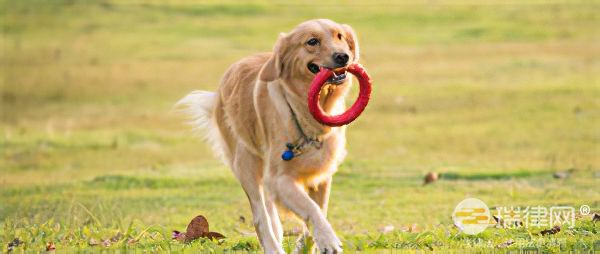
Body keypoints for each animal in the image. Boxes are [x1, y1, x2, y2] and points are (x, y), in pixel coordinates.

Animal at [176, 18, 358, 253]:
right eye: (312, 41)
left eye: (339, 36)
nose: (343, 56)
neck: (305, 112)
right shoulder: (279, 179)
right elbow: (312, 210)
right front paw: (328, 239)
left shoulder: (321, 176)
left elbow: (318, 212)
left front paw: (307, 245)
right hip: (246, 165)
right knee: (261, 217)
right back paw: (273, 247)